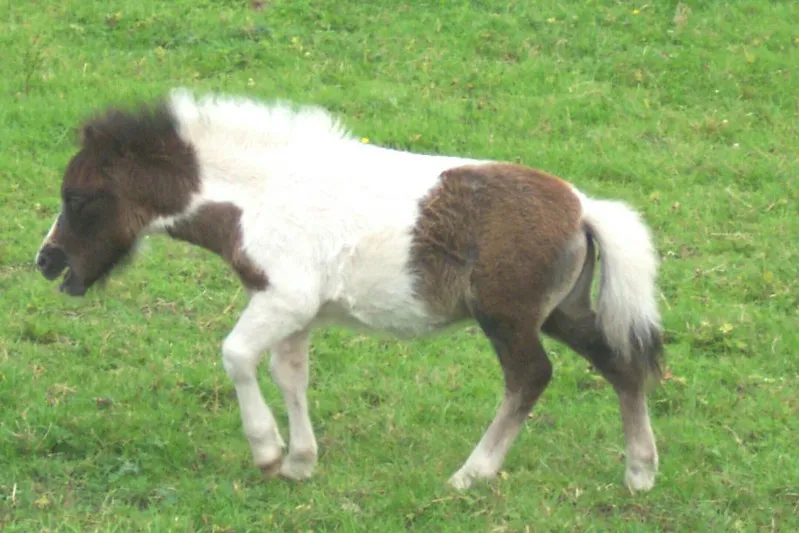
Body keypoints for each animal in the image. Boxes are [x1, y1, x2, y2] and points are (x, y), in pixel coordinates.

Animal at [35, 89, 663, 492]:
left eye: (79, 197)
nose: (46, 261)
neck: (261, 196)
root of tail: (583, 208)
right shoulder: (296, 310)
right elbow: (290, 375)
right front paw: (300, 463)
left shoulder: (283, 297)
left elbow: (236, 356)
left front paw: (267, 453)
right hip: (562, 311)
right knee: (622, 363)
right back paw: (639, 474)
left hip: (508, 318)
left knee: (531, 377)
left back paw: (471, 474)